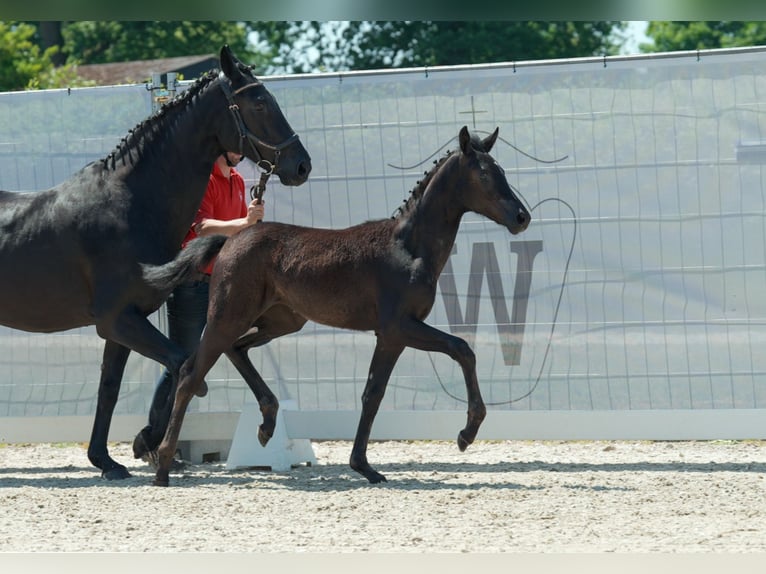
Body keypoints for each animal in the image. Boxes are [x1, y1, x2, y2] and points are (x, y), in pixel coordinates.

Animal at [0, 45, 312, 480]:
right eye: (259, 102)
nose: (301, 165)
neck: (130, 204)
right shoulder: (117, 320)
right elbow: (185, 368)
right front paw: (148, 442)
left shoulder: (120, 326)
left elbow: (111, 389)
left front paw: (108, 460)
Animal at [154, 126, 532, 486]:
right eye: (484, 174)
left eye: (501, 170)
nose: (521, 217)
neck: (408, 248)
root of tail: (229, 241)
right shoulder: (398, 328)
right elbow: (460, 350)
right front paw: (466, 434)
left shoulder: (391, 336)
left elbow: (373, 393)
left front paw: (364, 467)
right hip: (227, 315)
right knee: (189, 374)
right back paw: (163, 467)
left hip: (280, 321)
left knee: (236, 349)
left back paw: (267, 423)